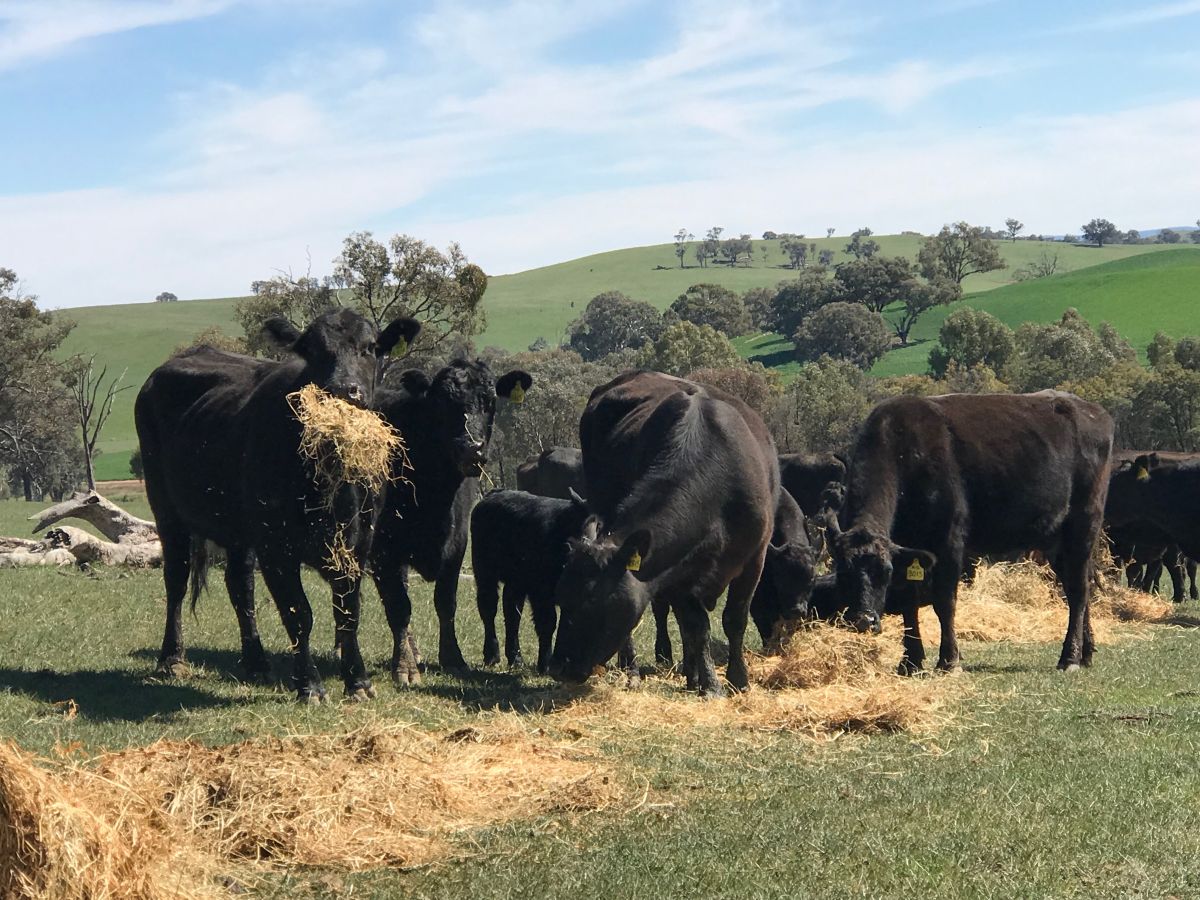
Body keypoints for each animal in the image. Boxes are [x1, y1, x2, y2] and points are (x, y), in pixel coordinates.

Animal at [133, 309, 417, 705]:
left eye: (371, 348)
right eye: (311, 351)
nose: (342, 391)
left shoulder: (357, 544)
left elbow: (348, 612)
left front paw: (358, 682)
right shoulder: (276, 547)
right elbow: (299, 613)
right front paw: (310, 687)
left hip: (236, 530)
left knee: (240, 586)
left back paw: (256, 662)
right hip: (166, 510)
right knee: (176, 579)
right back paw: (172, 659)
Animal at [367, 360, 532, 681]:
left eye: (490, 401)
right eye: (442, 403)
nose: (472, 448)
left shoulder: (457, 544)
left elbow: (445, 602)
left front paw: (452, 657)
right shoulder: (383, 548)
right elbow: (398, 605)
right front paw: (404, 666)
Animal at [547, 369, 787, 696]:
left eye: (592, 602)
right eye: (561, 597)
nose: (558, 668)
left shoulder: (755, 557)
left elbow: (734, 619)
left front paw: (737, 679)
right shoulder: (675, 568)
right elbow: (696, 625)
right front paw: (710, 684)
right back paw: (635, 671)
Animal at [825, 391, 1113, 672]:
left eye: (884, 572)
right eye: (843, 572)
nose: (864, 620)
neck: (904, 452)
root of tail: (1091, 410)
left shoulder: (949, 542)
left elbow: (945, 601)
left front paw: (949, 660)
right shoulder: (908, 548)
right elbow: (909, 603)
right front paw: (911, 661)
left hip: (1083, 525)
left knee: (1078, 590)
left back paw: (1070, 658)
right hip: (1056, 541)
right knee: (1077, 585)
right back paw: (1086, 652)